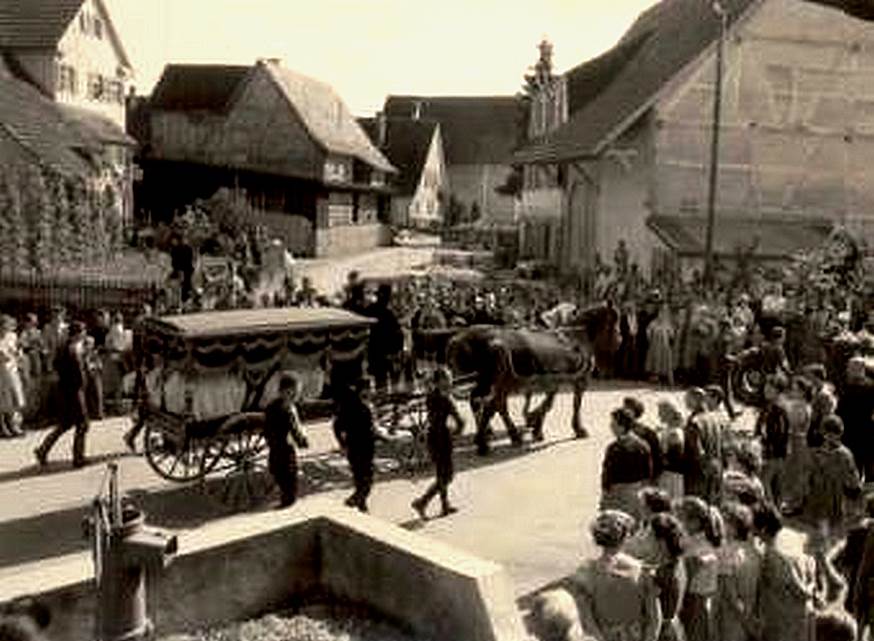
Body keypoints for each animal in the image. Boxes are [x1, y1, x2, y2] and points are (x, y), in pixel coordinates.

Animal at [446, 316, 596, 456]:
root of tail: (458, 338)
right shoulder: (580, 380)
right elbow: (574, 404)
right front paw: (578, 429)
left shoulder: (554, 383)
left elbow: (548, 404)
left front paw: (536, 427)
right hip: (498, 382)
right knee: (491, 405)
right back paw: (488, 442)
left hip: (487, 381)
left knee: (482, 402)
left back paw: (490, 436)